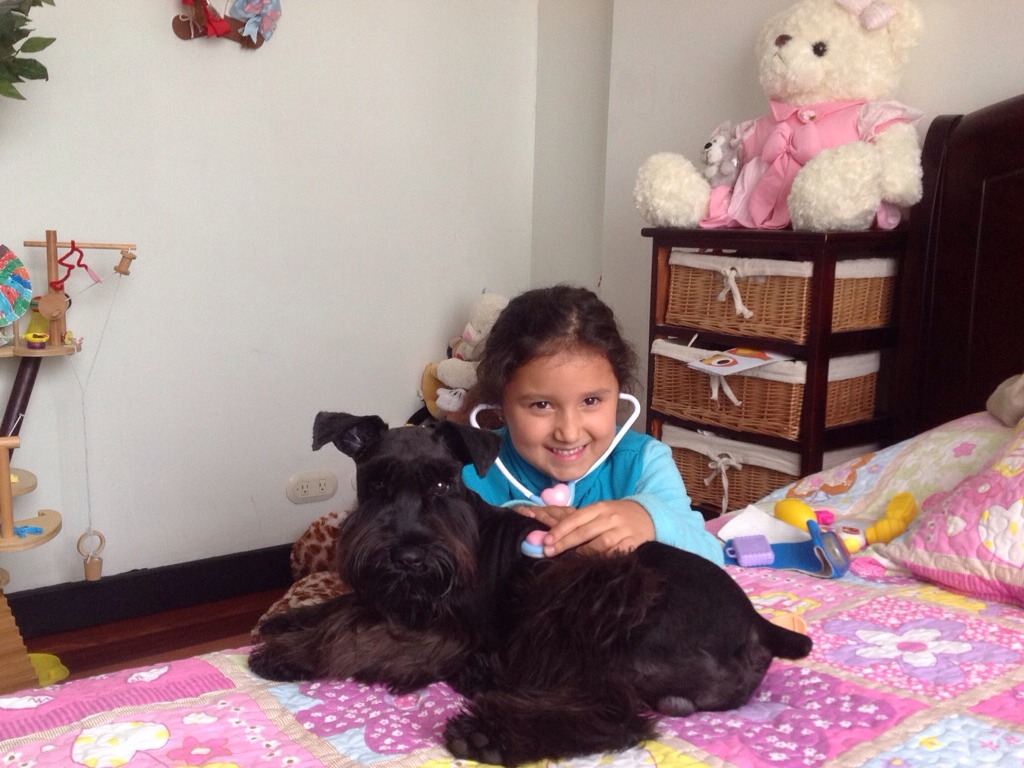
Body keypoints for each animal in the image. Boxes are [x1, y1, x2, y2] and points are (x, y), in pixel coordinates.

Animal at [248, 412, 812, 766]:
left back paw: (486, 734)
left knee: (616, 717)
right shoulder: (390, 598)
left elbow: (353, 635)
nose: (409, 557)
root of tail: (758, 625)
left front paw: (287, 654)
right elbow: (344, 605)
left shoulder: (445, 629)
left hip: (599, 594)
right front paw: (284, 622)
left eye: (443, 484)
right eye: (377, 484)